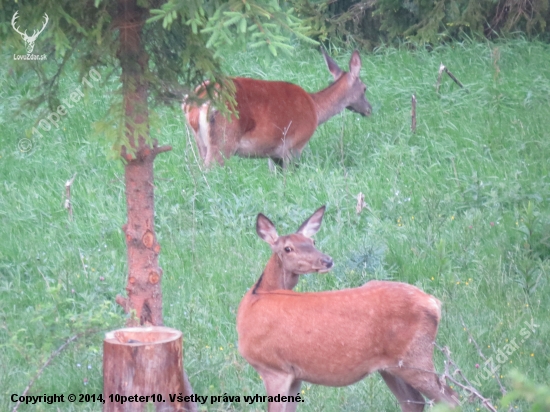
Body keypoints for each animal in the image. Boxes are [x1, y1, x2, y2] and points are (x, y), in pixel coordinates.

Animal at [183, 49, 374, 169]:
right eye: (365, 88)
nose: (369, 109)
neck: (315, 109)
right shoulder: (294, 145)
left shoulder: (273, 152)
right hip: (224, 138)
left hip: (201, 142)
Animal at [237, 206, 462, 412]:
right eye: (288, 248)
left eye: (313, 242)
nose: (327, 260)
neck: (257, 295)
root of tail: (434, 303)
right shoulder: (293, 374)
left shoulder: (273, 368)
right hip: (391, 367)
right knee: (414, 402)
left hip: (414, 357)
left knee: (451, 398)